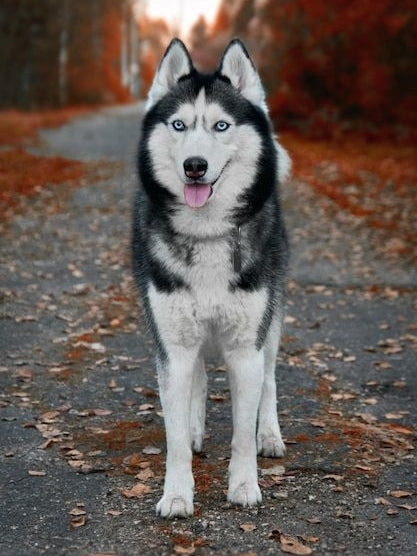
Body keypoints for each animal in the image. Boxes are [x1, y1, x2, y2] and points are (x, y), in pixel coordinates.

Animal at [132, 38, 290, 516]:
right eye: (179, 125)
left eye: (221, 125)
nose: (195, 166)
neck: (207, 233)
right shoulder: (173, 347)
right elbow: (174, 437)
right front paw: (177, 493)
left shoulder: (246, 348)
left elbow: (241, 432)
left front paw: (243, 486)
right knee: (199, 375)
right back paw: (196, 426)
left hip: (271, 325)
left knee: (270, 380)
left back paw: (269, 434)